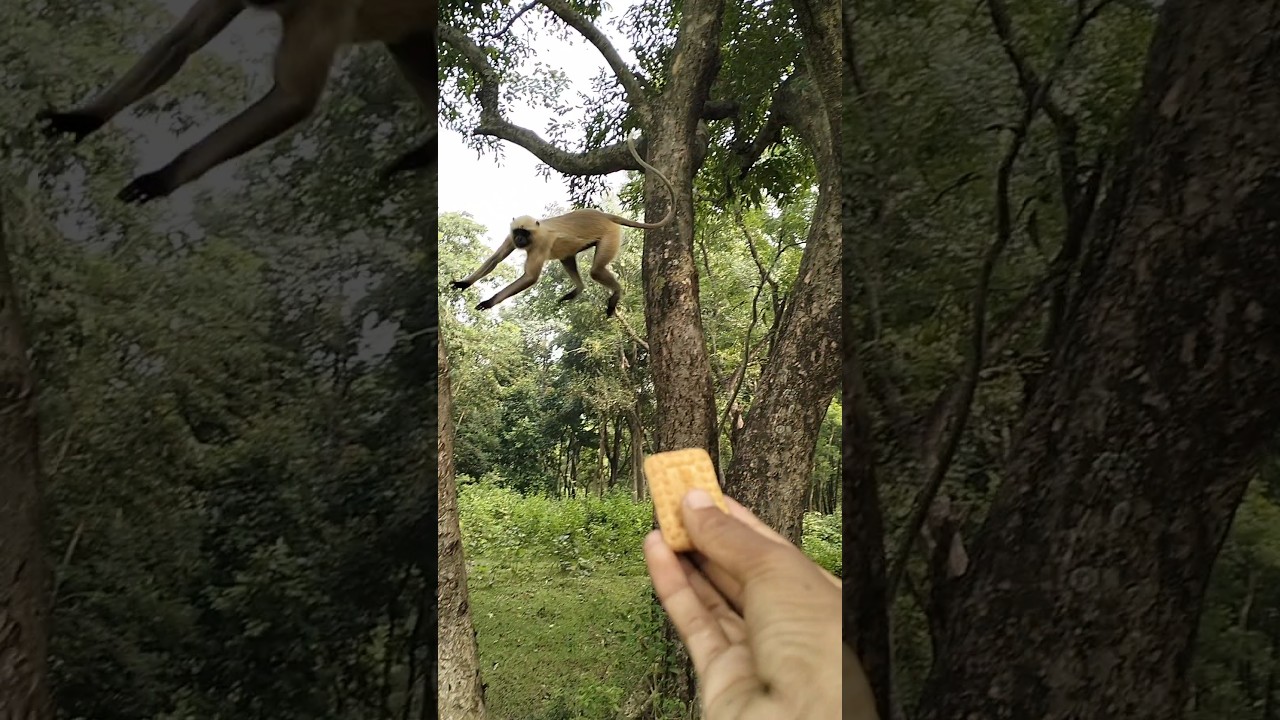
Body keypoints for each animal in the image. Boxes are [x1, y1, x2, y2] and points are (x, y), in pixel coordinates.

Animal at [450, 136, 675, 318]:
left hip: (611, 235)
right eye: (518, 233)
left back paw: (616, 291)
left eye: (526, 233)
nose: (520, 240)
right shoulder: (509, 237)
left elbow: (530, 277)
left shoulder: (541, 242)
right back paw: (579, 288)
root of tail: (603, 215)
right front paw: (464, 283)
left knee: (595, 270)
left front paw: (489, 302)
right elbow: (495, 259)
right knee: (567, 256)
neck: (535, 232)